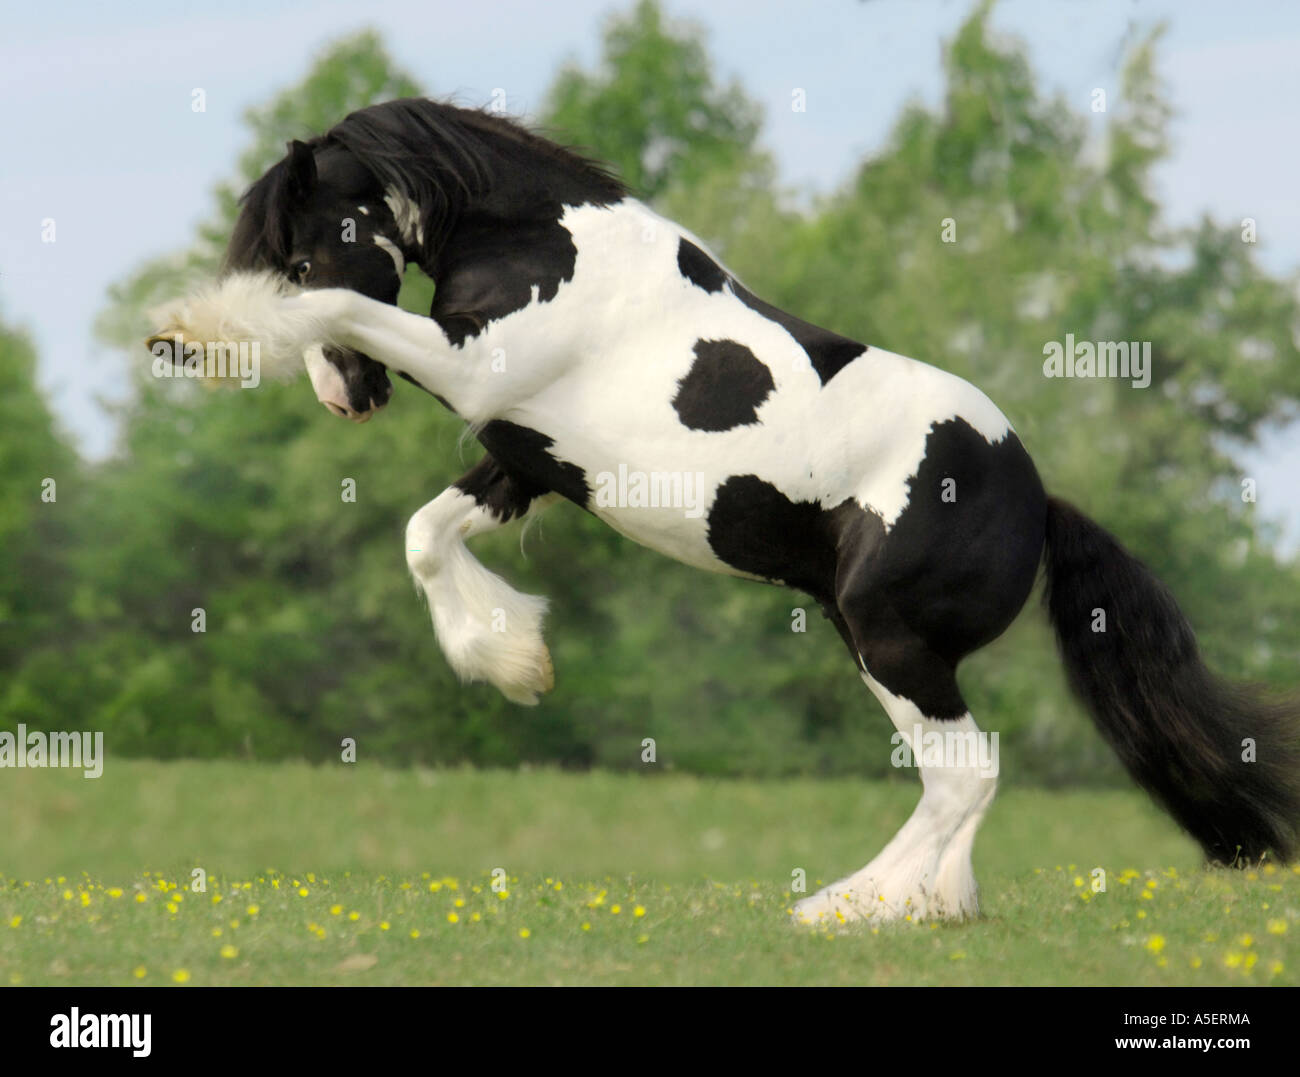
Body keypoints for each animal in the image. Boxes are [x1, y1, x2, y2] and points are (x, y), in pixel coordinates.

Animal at [152, 98, 1300, 926]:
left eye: (298, 255)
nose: (349, 400)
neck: (544, 249)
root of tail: (1037, 500)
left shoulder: (475, 378)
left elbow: (345, 311)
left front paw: (195, 329)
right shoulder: (527, 458)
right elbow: (426, 537)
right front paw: (517, 662)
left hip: (889, 640)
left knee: (966, 772)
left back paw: (850, 907)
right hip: (874, 640)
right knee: (956, 780)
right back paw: (932, 906)